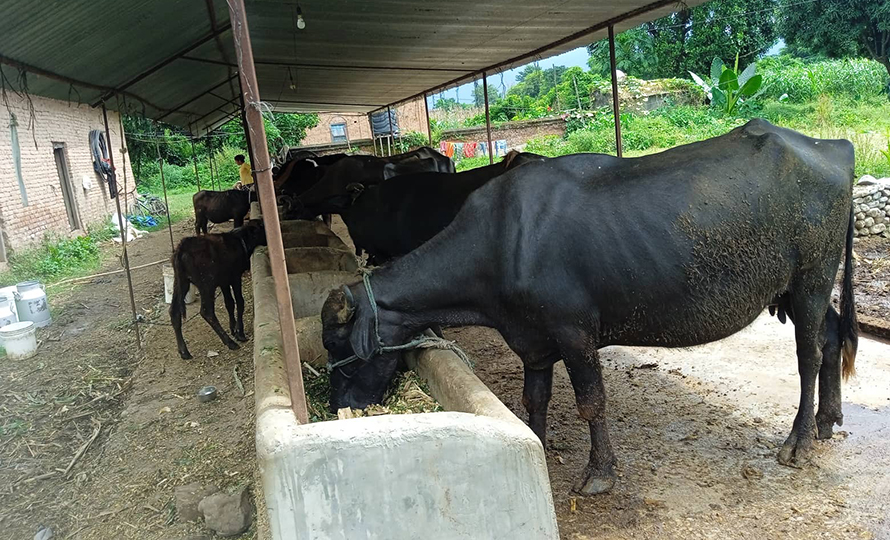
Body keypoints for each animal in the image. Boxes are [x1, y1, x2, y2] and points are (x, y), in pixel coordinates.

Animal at [320, 121, 852, 498]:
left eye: (336, 344)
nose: (339, 407)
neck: (501, 242)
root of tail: (832, 147)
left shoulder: (574, 333)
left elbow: (591, 402)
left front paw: (599, 474)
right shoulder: (533, 342)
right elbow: (534, 399)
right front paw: (535, 441)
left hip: (812, 278)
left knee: (809, 355)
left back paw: (799, 441)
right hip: (800, 290)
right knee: (830, 338)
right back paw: (826, 421)